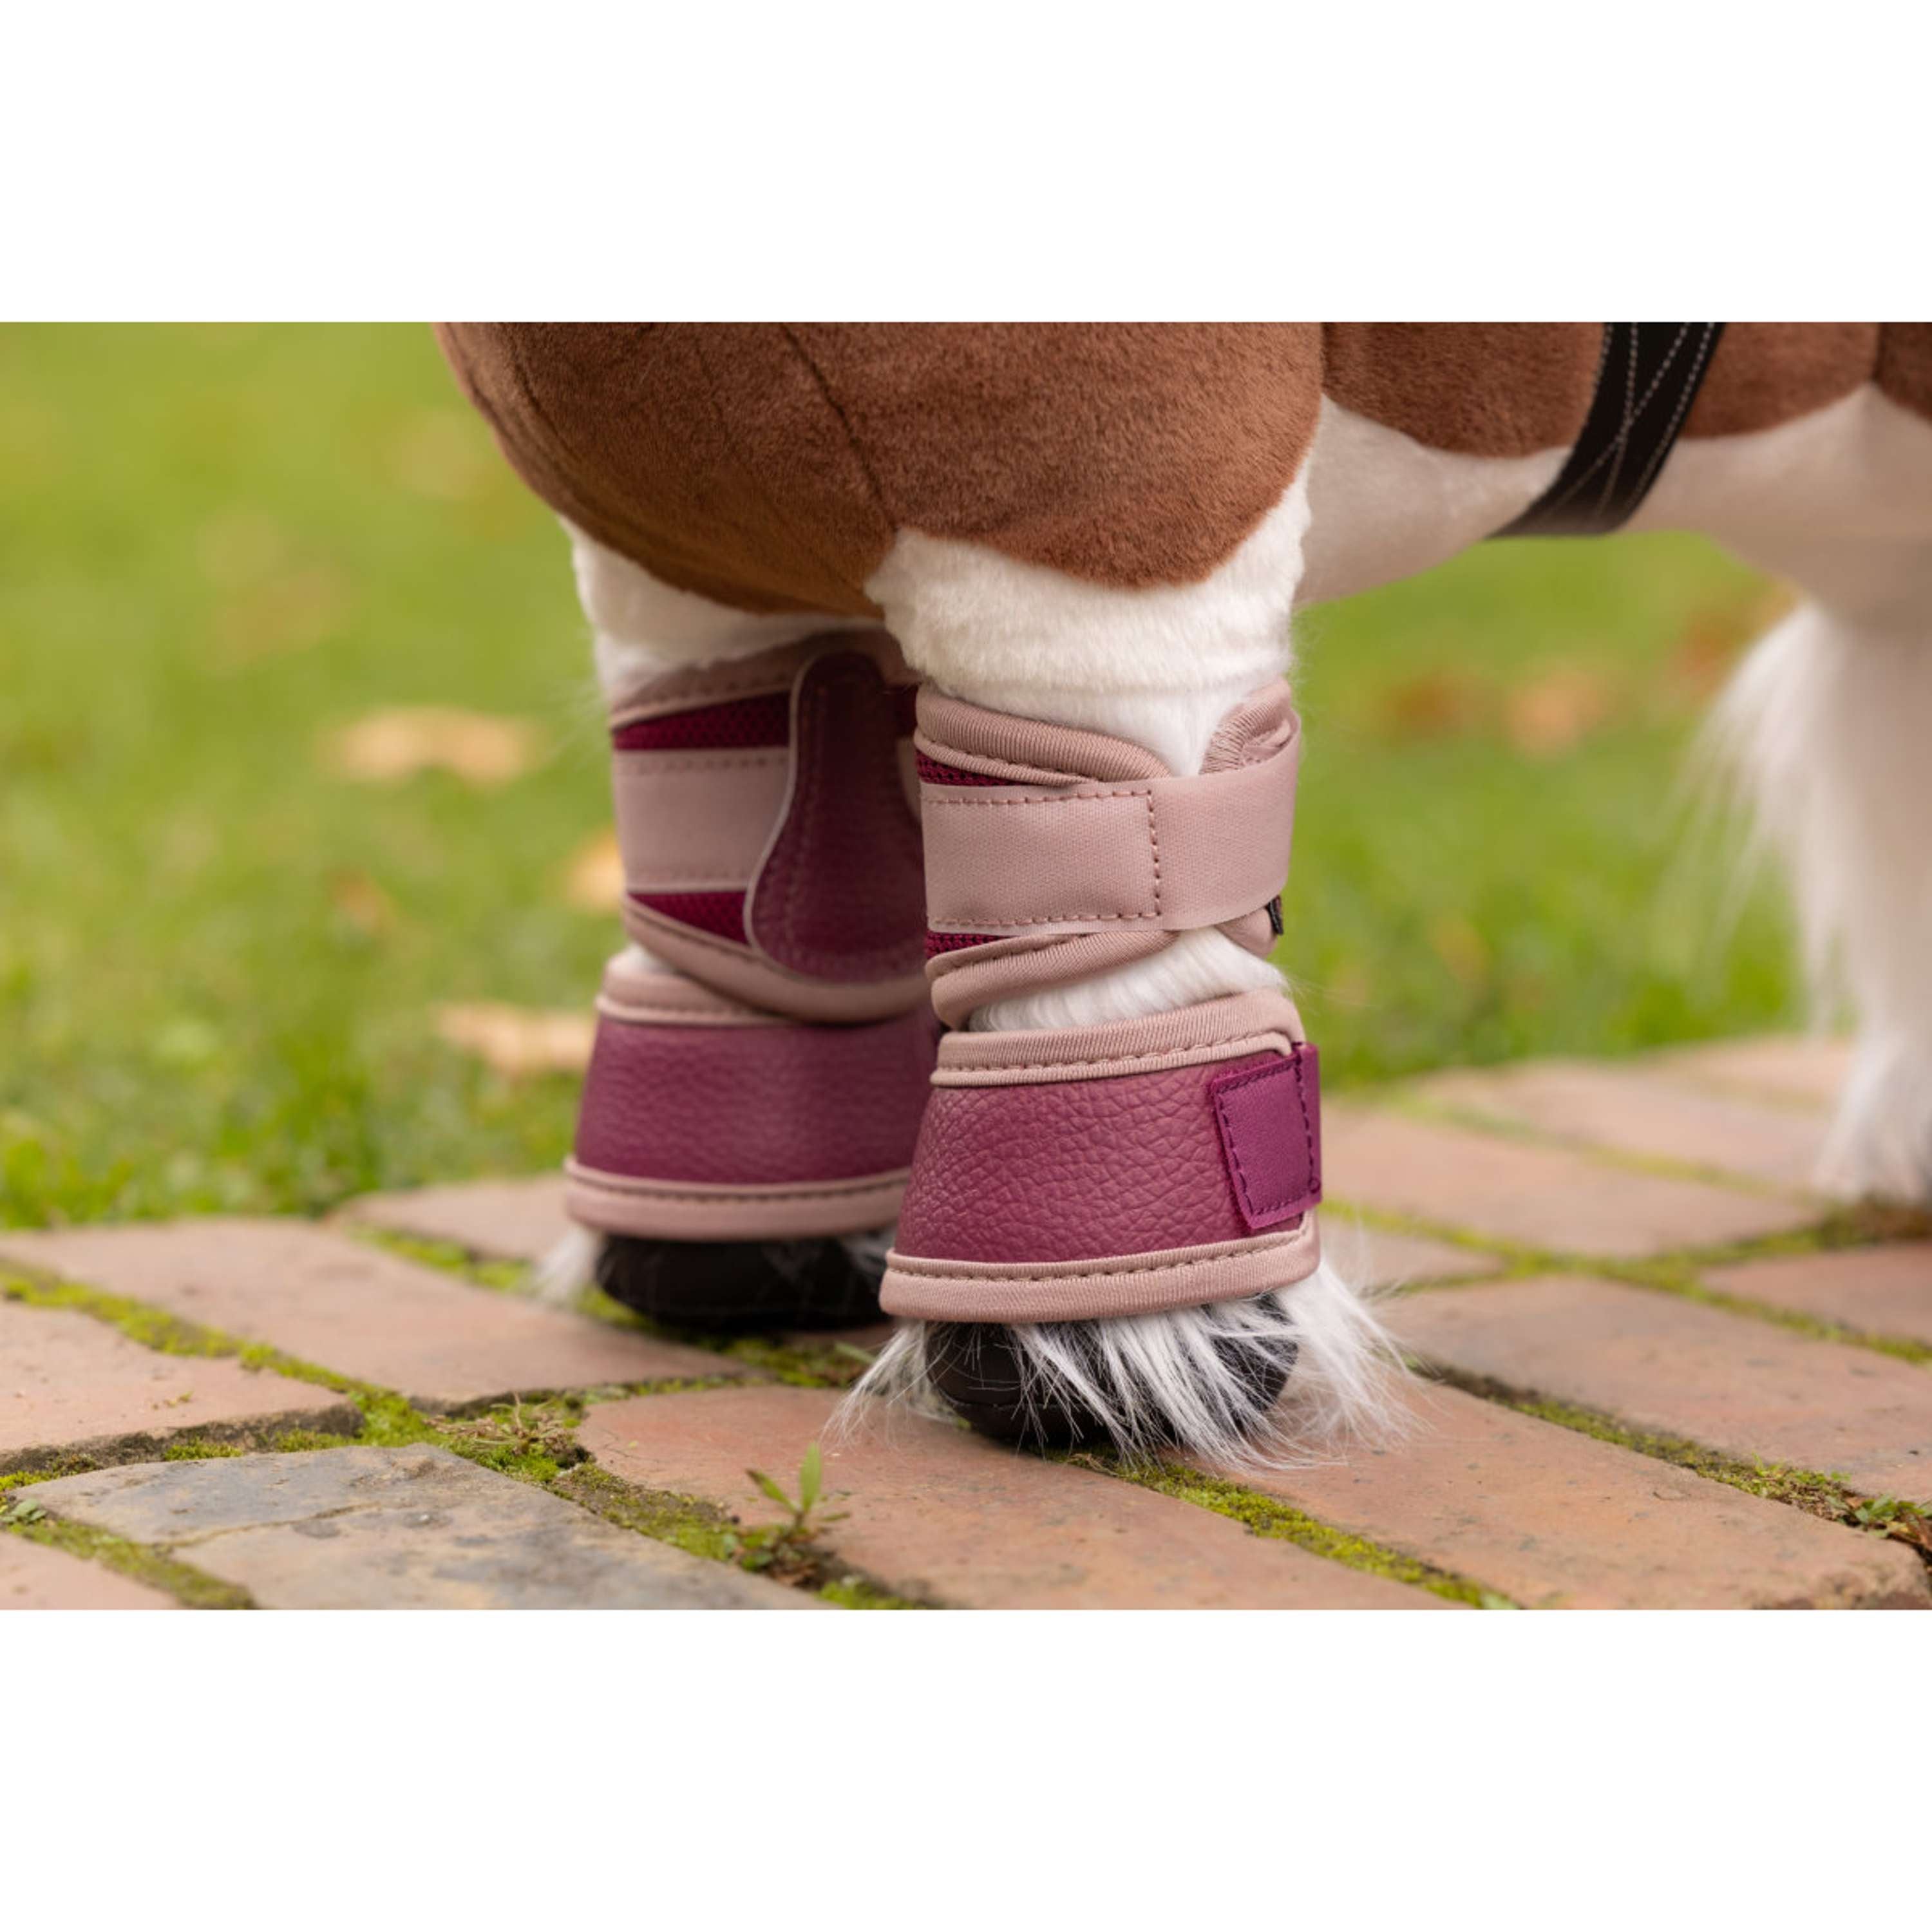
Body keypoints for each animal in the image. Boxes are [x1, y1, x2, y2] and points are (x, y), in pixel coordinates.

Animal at [435, 323, 1932, 1464]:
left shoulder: (1108, 519)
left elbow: (1112, 960)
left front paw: (1103, 1358)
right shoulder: (684, 584)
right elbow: (763, 898)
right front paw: (727, 1252)